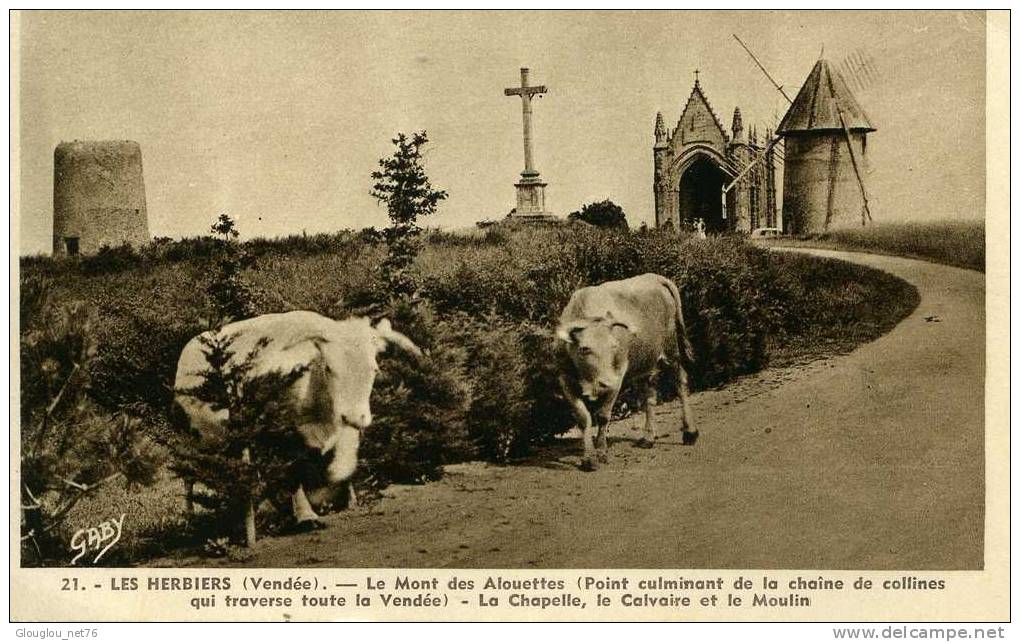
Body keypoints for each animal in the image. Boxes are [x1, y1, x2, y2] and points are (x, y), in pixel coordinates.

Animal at [173, 308, 420, 526]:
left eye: (374, 369)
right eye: (329, 368)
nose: (353, 415)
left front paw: (346, 498)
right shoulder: (286, 432)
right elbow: (295, 471)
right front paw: (306, 516)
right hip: (191, 437)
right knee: (188, 476)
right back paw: (190, 518)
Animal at [554, 271, 697, 471]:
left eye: (614, 346)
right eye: (584, 349)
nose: (606, 382)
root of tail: (654, 277)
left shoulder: (618, 376)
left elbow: (603, 416)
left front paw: (602, 453)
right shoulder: (565, 380)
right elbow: (583, 418)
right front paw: (588, 458)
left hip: (671, 350)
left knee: (680, 384)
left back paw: (690, 433)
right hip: (646, 362)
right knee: (649, 397)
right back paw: (648, 438)